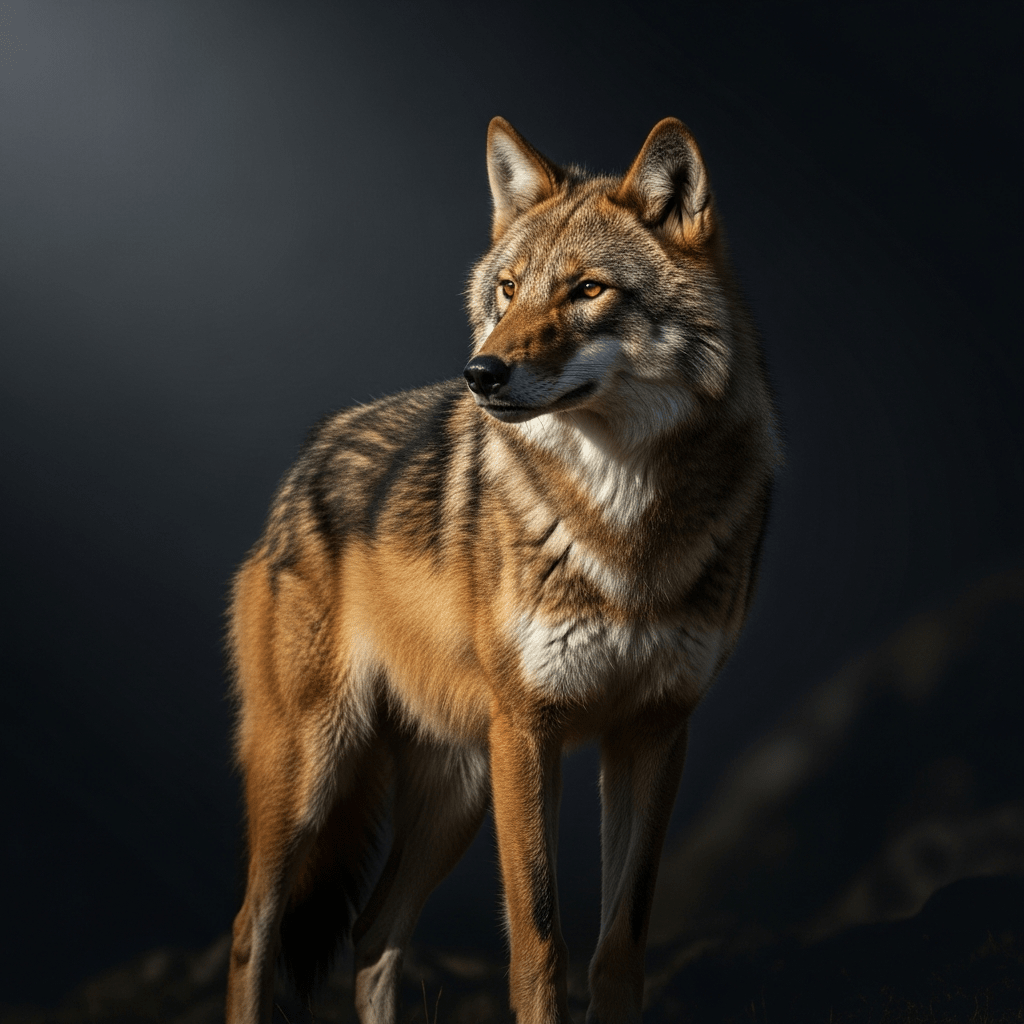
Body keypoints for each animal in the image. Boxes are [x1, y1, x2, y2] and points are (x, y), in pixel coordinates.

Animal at [225, 116, 780, 1023]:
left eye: (587, 290)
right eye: (509, 290)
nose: (480, 374)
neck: (622, 522)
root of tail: (310, 454)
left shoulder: (654, 732)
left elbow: (618, 950)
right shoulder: (530, 728)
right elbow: (540, 947)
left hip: (457, 788)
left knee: (373, 936)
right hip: (314, 768)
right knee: (252, 930)